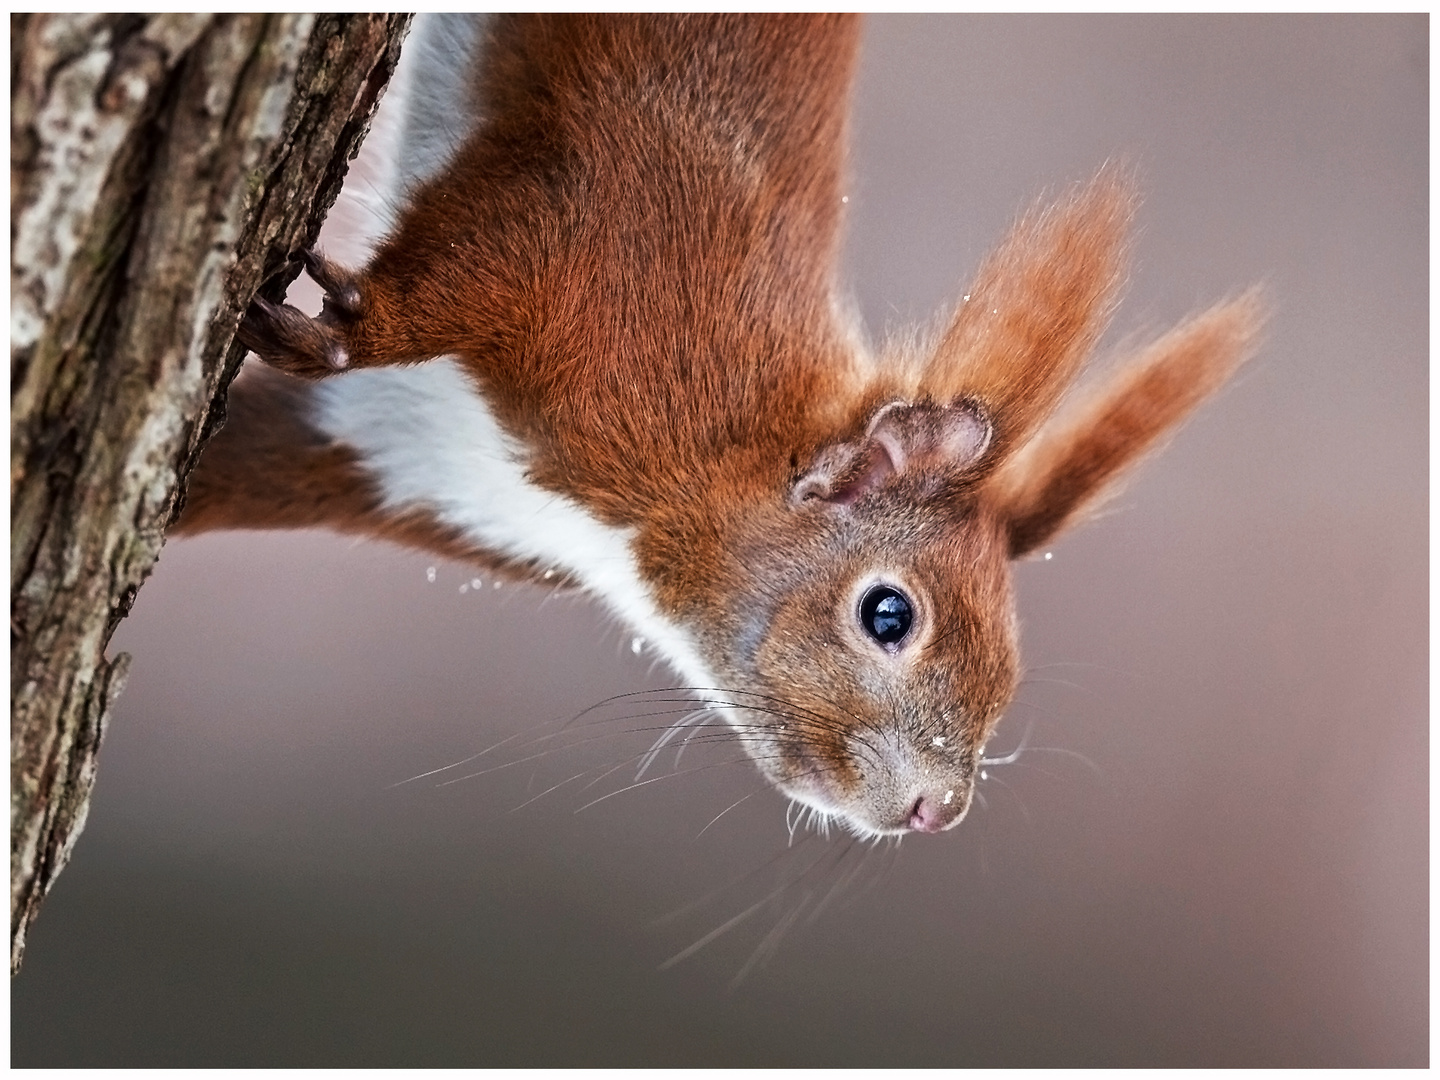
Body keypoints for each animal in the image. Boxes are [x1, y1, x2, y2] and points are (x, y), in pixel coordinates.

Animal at [177, 16, 1261, 840]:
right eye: (888, 616)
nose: (937, 811)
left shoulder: (393, 454)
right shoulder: (592, 245)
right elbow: (471, 256)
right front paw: (338, 331)